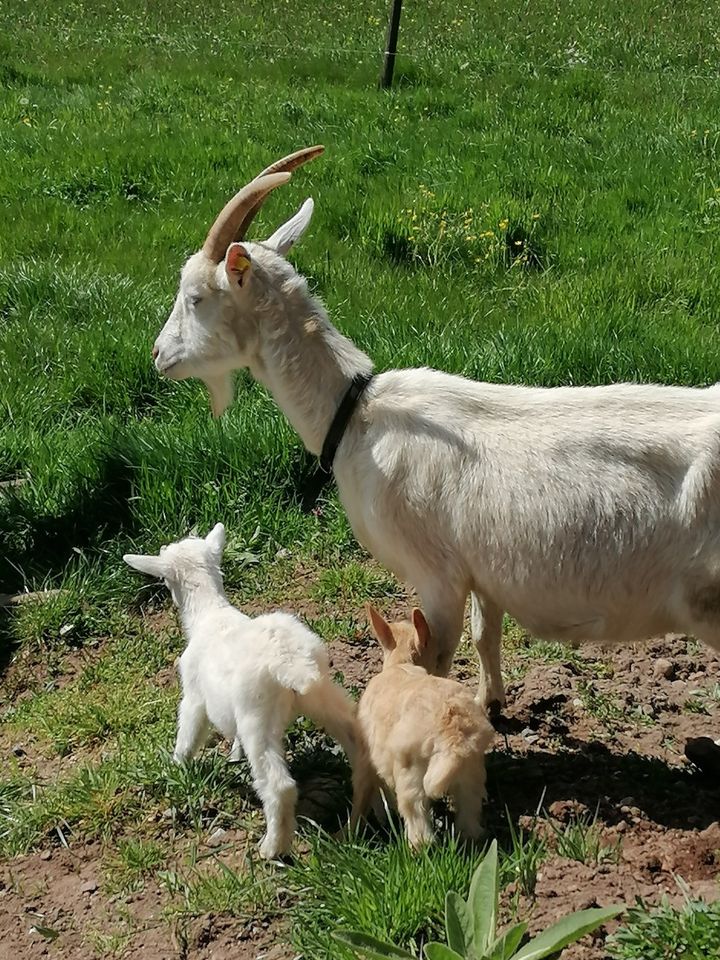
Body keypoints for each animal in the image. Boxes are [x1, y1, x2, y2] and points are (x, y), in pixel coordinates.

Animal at [155, 146, 720, 708]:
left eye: (195, 297)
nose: (159, 355)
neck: (356, 416)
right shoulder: (483, 572)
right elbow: (485, 636)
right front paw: (490, 703)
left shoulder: (437, 575)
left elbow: (438, 659)